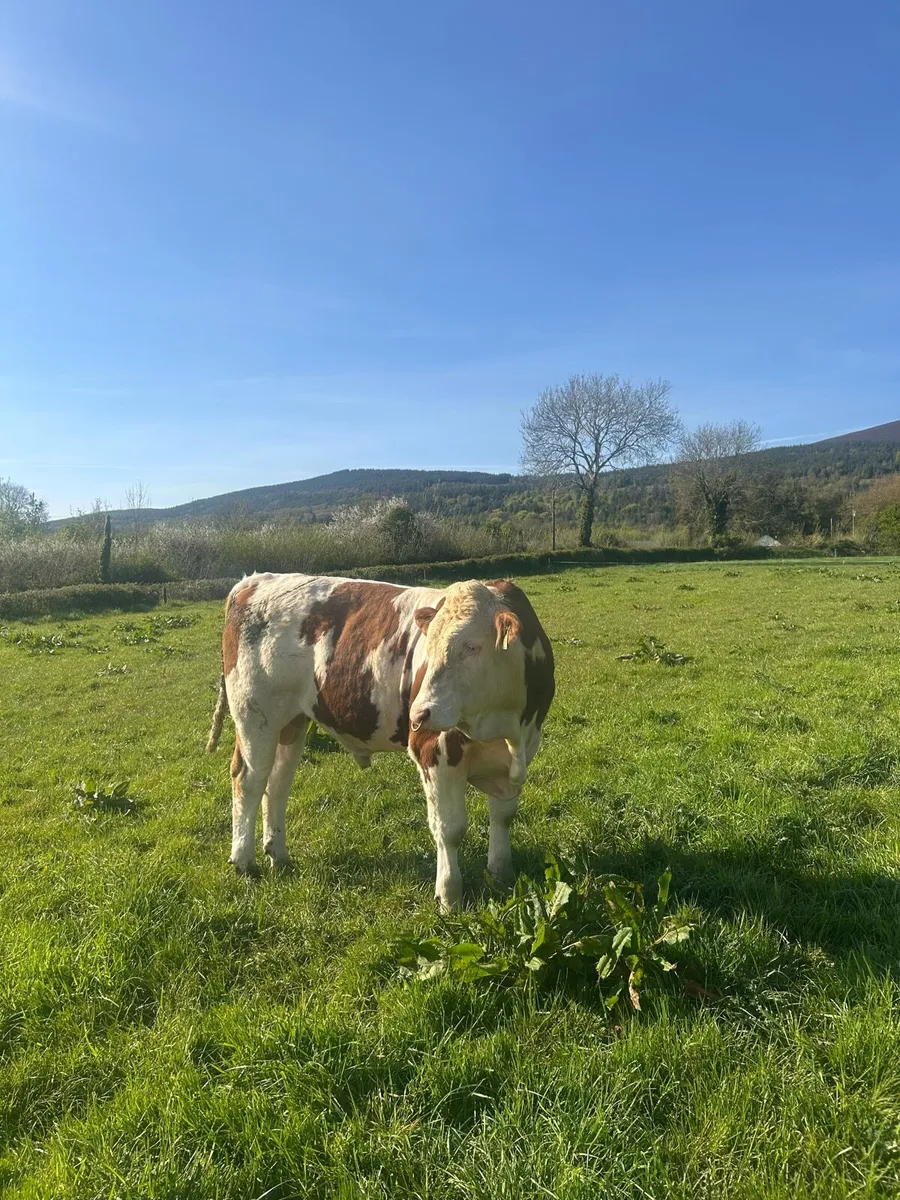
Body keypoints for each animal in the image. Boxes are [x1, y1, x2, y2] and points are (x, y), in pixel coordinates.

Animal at [206, 573, 554, 909]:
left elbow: (503, 816)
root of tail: (251, 582)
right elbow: (450, 829)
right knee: (249, 781)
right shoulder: (434, 753)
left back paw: (278, 855)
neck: (504, 728)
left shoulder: (522, 750)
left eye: (472, 646)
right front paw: (449, 896)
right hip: (255, 717)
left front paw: (501, 873)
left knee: (277, 784)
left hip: (291, 723)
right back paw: (243, 860)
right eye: (429, 645)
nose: (418, 714)